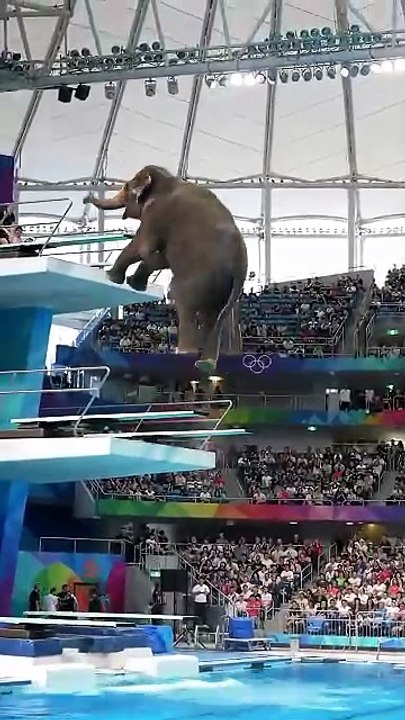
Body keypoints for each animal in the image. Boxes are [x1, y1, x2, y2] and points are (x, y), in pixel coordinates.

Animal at [84, 166, 247, 374]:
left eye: (127, 186)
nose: (85, 198)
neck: (168, 179)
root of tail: (239, 263)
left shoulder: (156, 214)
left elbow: (142, 246)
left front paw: (113, 277)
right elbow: (158, 256)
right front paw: (134, 282)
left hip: (200, 277)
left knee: (186, 303)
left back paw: (185, 353)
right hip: (227, 288)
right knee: (218, 316)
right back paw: (209, 363)